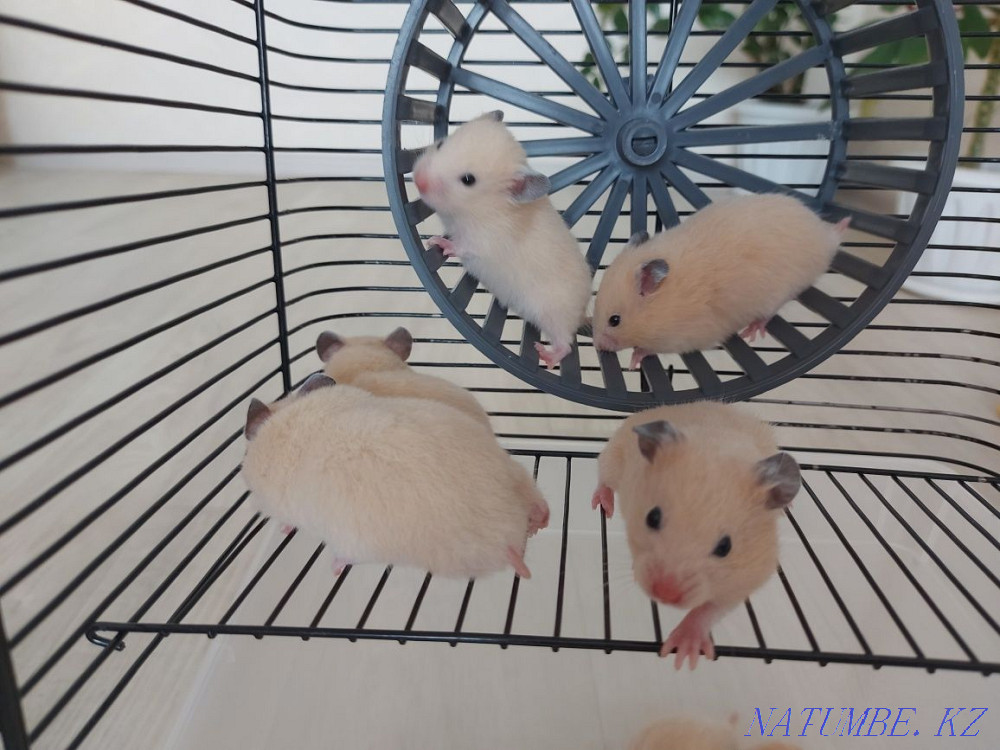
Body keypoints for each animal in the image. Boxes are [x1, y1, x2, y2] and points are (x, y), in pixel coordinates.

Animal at [241, 374, 549, 578]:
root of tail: (510, 527)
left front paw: (283, 528)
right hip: (514, 471)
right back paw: (538, 519)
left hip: (355, 542)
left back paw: (335, 567)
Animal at [412, 110, 593, 369]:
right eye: (441, 143)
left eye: (468, 180)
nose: (418, 180)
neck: (478, 209)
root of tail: (583, 313)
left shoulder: (484, 241)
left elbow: (462, 246)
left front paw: (436, 242)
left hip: (553, 314)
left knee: (566, 344)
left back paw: (544, 355)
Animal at [592, 194, 848, 369]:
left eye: (615, 320)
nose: (596, 345)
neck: (662, 304)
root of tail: (826, 238)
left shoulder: (682, 336)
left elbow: (648, 349)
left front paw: (633, 361)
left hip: (780, 292)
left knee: (768, 314)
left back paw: (751, 332)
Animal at [592, 401, 800, 669]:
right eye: (652, 517)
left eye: (725, 547)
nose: (665, 595)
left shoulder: (747, 577)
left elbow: (709, 609)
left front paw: (683, 656)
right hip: (615, 453)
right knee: (604, 475)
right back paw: (603, 503)